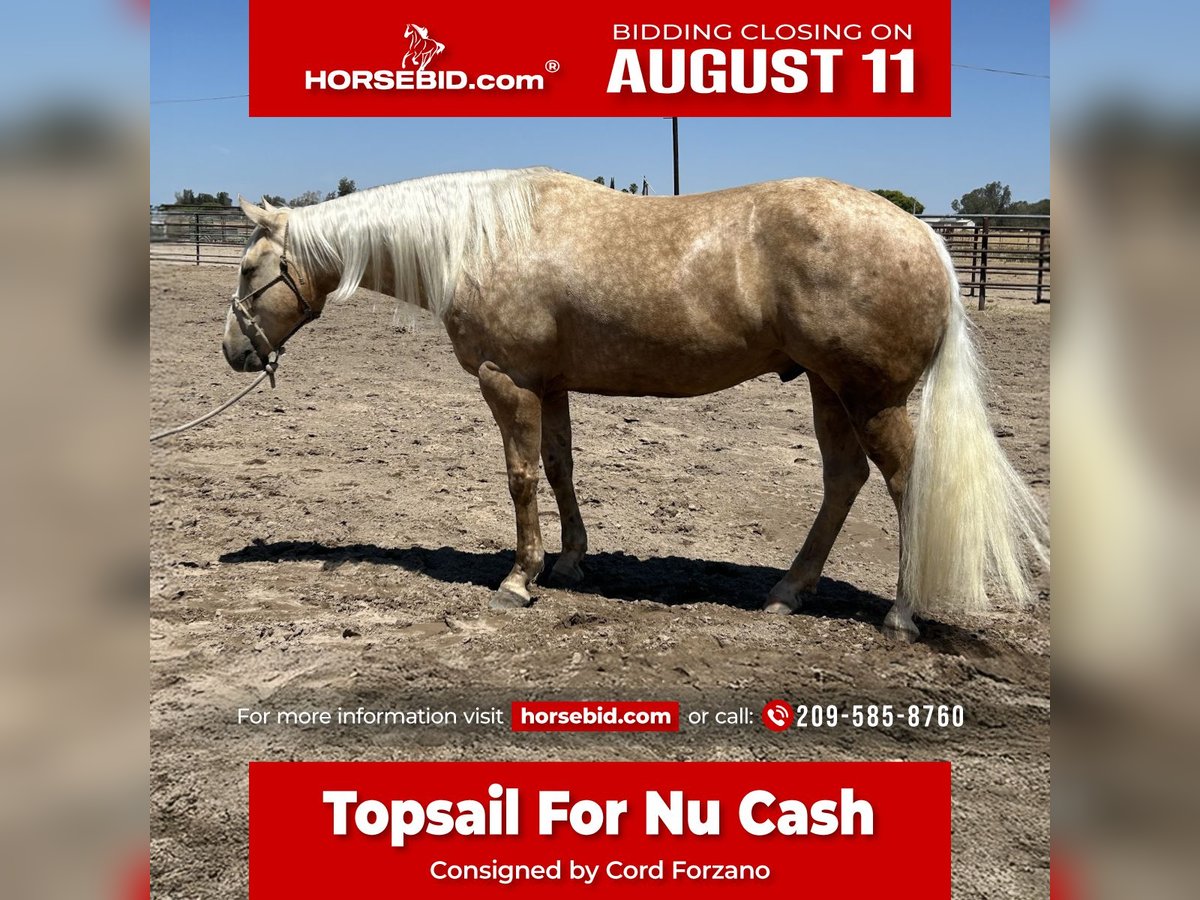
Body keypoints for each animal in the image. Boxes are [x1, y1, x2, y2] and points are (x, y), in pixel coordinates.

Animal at [223, 168, 1047, 641]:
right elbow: (560, 469)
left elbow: (521, 477)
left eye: (249, 269)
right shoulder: (548, 383)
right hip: (826, 389)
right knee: (843, 480)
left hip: (870, 397)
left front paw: (518, 580)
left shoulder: (506, 380)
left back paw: (900, 615)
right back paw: (787, 593)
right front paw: (569, 564)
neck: (481, 236)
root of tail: (925, 236)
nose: (234, 352)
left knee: (905, 486)